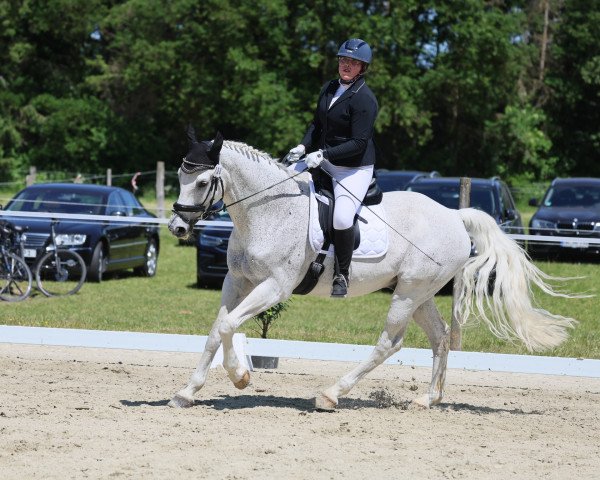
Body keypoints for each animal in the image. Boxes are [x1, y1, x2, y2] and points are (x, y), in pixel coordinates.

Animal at [168, 129, 576, 410]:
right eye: (178, 177)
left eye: (202, 182)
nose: (178, 228)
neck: (267, 209)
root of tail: (454, 216)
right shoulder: (237, 280)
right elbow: (218, 328)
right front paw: (189, 391)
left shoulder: (274, 286)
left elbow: (226, 325)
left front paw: (239, 377)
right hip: (419, 292)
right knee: (440, 336)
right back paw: (428, 399)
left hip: (409, 292)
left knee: (389, 342)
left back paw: (331, 394)